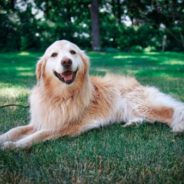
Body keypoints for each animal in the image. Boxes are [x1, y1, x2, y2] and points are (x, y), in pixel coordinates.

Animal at [0, 39, 184, 149]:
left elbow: (36, 136)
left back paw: (177, 127)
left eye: (72, 52)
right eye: (54, 55)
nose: (66, 61)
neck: (60, 96)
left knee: (172, 111)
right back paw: (133, 123)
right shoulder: (40, 121)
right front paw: (5, 138)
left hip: (140, 104)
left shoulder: (65, 126)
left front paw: (12, 146)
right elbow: (15, 130)